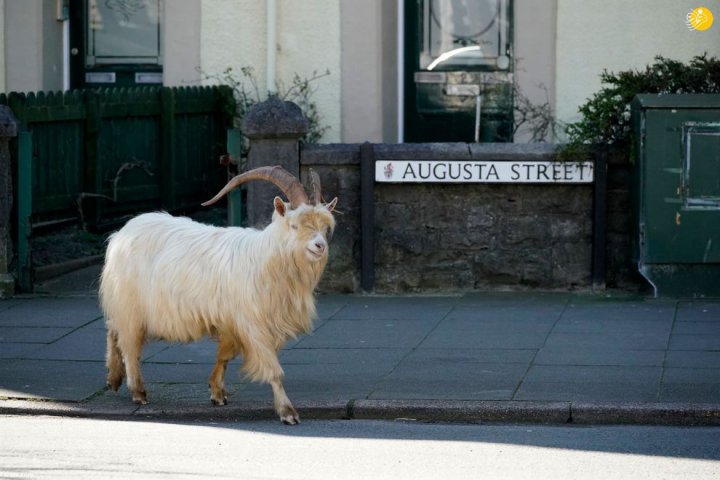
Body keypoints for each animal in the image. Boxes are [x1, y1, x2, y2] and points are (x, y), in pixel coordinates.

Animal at [98, 166, 338, 424]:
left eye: (325, 227)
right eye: (294, 225)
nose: (320, 246)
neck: (267, 260)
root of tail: (121, 232)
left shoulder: (233, 322)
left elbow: (225, 355)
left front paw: (217, 392)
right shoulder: (253, 325)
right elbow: (273, 369)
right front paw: (287, 412)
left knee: (114, 330)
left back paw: (114, 379)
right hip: (130, 303)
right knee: (129, 342)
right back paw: (138, 391)